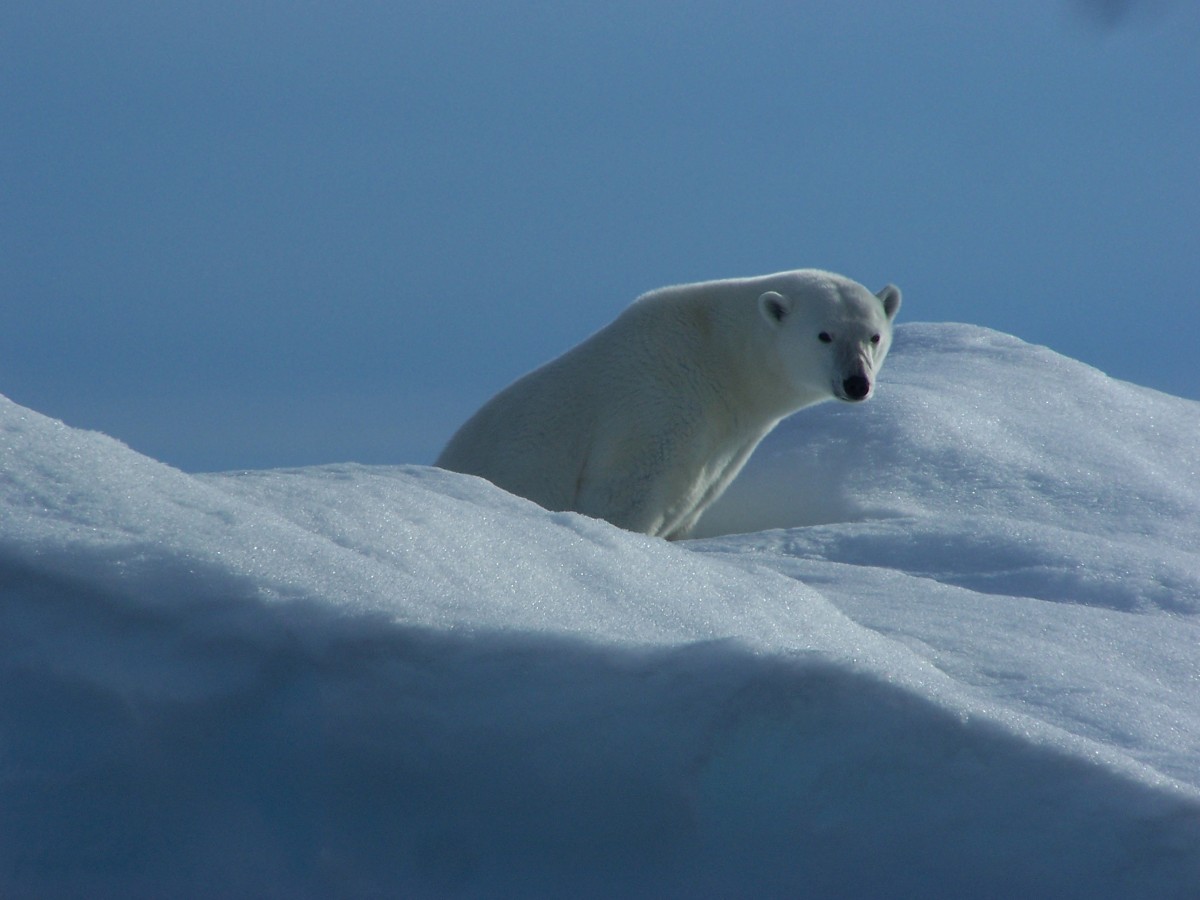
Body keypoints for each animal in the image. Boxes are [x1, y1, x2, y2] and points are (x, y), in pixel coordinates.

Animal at [439, 271, 902, 540]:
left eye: (873, 335)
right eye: (824, 335)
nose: (856, 383)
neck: (721, 357)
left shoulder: (730, 444)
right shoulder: (654, 402)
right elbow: (623, 494)